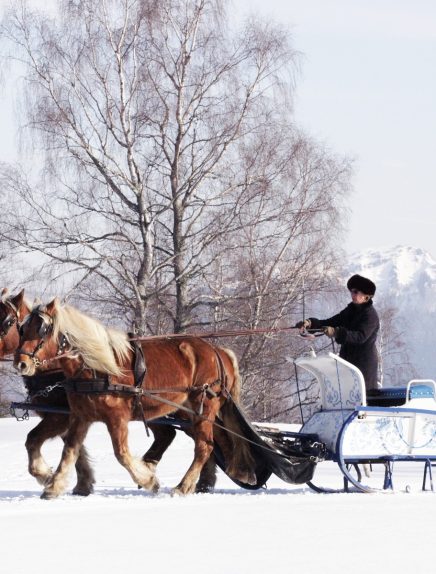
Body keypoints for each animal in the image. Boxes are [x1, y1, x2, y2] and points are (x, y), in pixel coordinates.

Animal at [0, 290, 95, 498]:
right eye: (21, 330)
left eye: (9, 322)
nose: (21, 364)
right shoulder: (63, 417)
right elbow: (74, 445)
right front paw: (83, 484)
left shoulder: (60, 416)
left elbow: (32, 439)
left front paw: (45, 475)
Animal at [15, 300, 255, 502]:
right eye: (22, 329)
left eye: (42, 330)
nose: (21, 363)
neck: (96, 367)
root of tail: (218, 351)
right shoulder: (79, 416)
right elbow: (69, 451)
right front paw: (53, 485)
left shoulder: (116, 418)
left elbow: (121, 454)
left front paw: (149, 480)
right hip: (189, 411)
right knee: (214, 440)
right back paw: (234, 472)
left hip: (202, 406)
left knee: (204, 445)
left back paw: (184, 486)